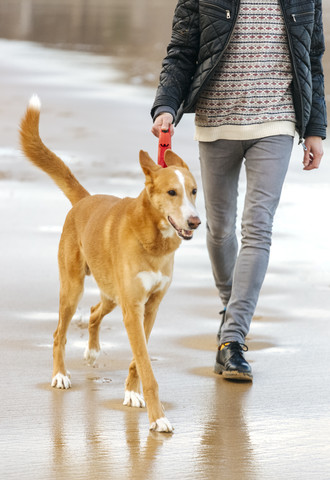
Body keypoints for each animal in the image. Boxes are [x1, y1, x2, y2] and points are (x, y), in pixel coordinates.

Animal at [20, 95, 202, 434]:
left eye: (194, 191)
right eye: (172, 192)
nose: (195, 222)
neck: (154, 240)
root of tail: (84, 200)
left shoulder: (149, 307)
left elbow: (138, 360)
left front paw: (131, 393)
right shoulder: (133, 308)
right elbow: (145, 366)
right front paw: (157, 417)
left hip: (111, 293)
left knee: (94, 312)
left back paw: (92, 351)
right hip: (73, 289)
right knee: (59, 333)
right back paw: (59, 375)